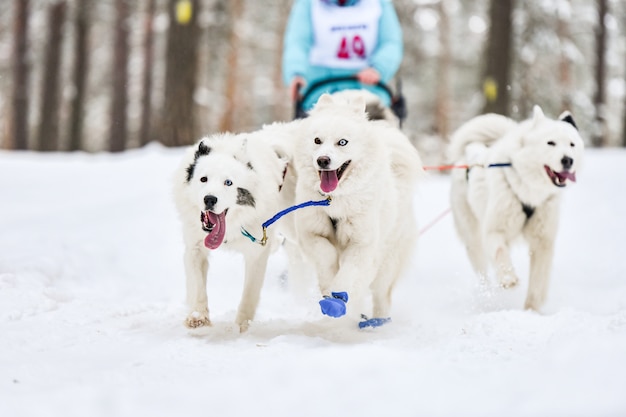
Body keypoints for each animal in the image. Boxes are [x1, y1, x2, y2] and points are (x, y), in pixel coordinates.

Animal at [173, 131, 290, 332]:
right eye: (203, 179)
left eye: (228, 182)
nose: (209, 199)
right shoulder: (194, 248)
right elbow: (197, 285)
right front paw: (198, 316)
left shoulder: (257, 254)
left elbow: (249, 293)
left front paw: (242, 325)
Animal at [292, 92, 420, 324]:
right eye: (317, 140)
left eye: (342, 142)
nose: (322, 160)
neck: (334, 200)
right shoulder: (311, 233)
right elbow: (326, 254)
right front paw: (329, 279)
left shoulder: (362, 244)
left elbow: (348, 275)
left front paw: (336, 299)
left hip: (387, 264)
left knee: (381, 295)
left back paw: (378, 321)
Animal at [446, 105, 584, 310]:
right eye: (550, 143)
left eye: (572, 144)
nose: (568, 160)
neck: (529, 191)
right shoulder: (494, 230)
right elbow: (500, 253)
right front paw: (508, 278)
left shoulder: (543, 241)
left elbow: (538, 282)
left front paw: (531, 310)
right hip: (473, 239)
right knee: (483, 271)